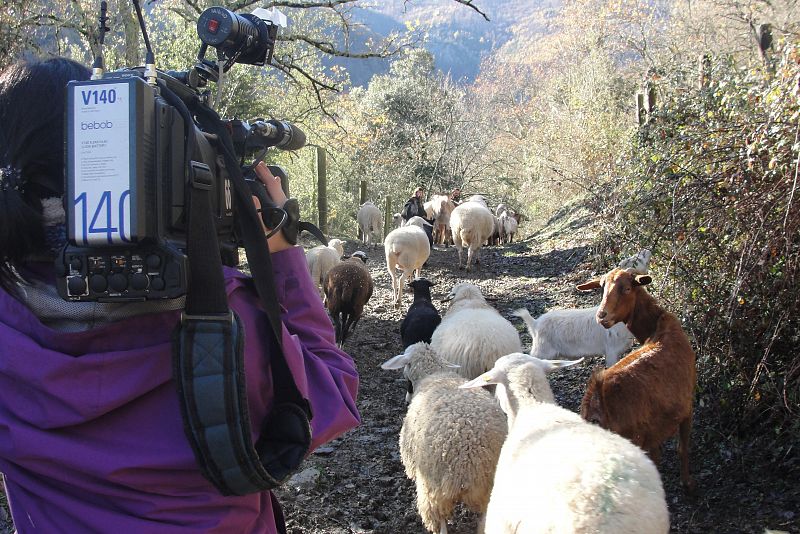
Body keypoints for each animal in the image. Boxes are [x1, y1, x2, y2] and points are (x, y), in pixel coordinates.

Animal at [382, 344, 506, 534]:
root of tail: (469, 461)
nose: (407, 399)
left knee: (439, 521)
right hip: (489, 489)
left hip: (433, 490)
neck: (434, 375)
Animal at [580, 270, 696, 496]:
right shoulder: (687, 406)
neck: (657, 327)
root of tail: (598, 400)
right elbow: (683, 448)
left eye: (627, 288)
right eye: (602, 287)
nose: (602, 316)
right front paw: (687, 483)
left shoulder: (654, 433)